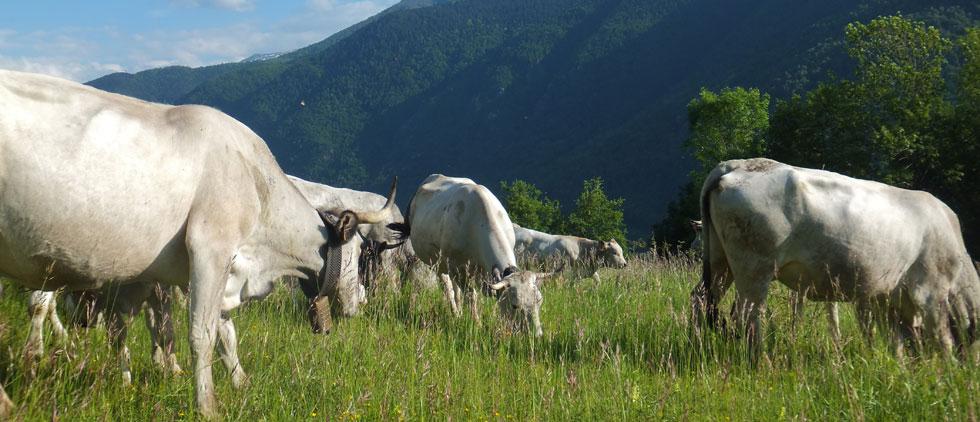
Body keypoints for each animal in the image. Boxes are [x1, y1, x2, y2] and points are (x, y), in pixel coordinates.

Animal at [0, 69, 394, 416]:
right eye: (357, 250)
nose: (358, 305)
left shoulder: (222, 268)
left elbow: (226, 334)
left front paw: (241, 382)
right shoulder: (210, 249)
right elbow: (201, 334)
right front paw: (207, 406)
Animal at [688, 158, 980, 360]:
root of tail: (736, 164)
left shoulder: (884, 298)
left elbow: (893, 338)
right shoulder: (931, 291)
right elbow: (941, 338)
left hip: (720, 263)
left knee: (700, 300)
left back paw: (696, 347)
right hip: (754, 268)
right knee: (747, 314)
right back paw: (761, 362)